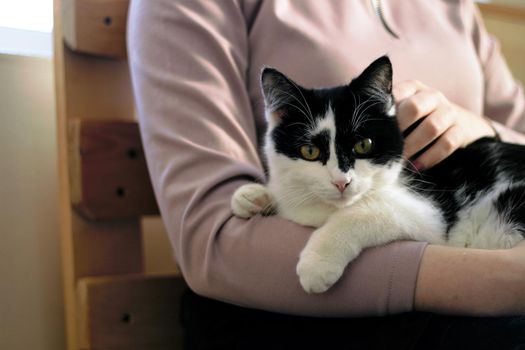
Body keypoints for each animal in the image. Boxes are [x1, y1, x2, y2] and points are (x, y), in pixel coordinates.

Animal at [230, 56, 524, 294]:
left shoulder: (431, 216)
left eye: (364, 145)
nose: (342, 182)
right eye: (310, 151)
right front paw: (254, 196)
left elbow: (365, 213)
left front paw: (318, 263)